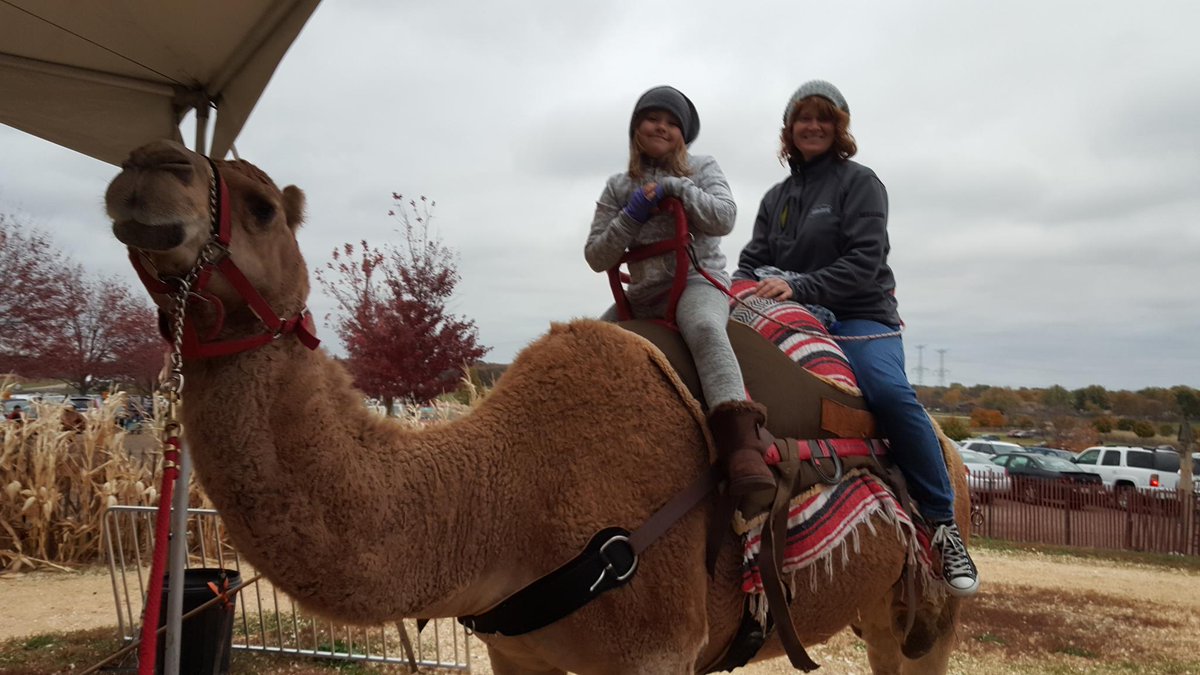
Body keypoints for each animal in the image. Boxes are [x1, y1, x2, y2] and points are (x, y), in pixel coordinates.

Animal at [104, 139, 967, 674]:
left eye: (259, 206)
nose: (145, 167)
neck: (504, 495)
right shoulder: (515, 650)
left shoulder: (654, 648)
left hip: (923, 607)